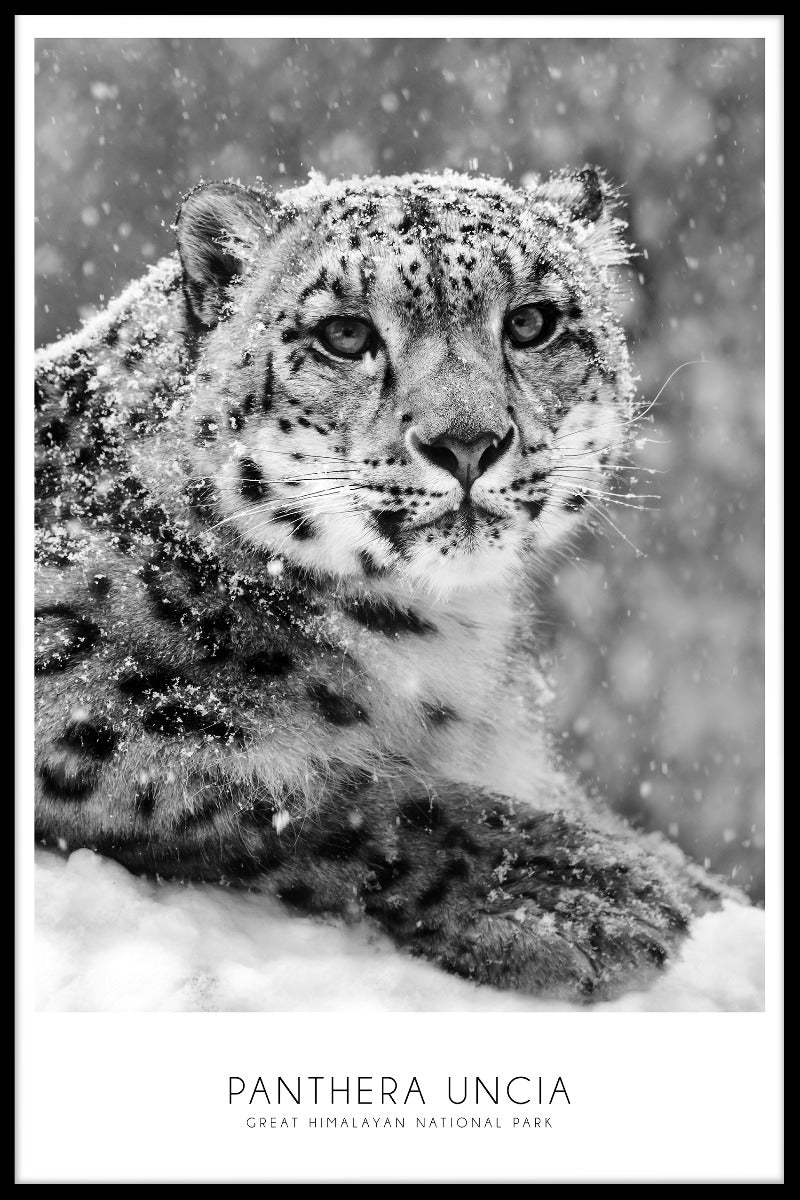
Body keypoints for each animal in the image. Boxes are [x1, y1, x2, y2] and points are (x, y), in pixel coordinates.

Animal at [34, 166, 723, 1003]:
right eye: (344, 335)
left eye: (532, 322)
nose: (468, 442)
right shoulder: (80, 694)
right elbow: (304, 788)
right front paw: (579, 891)